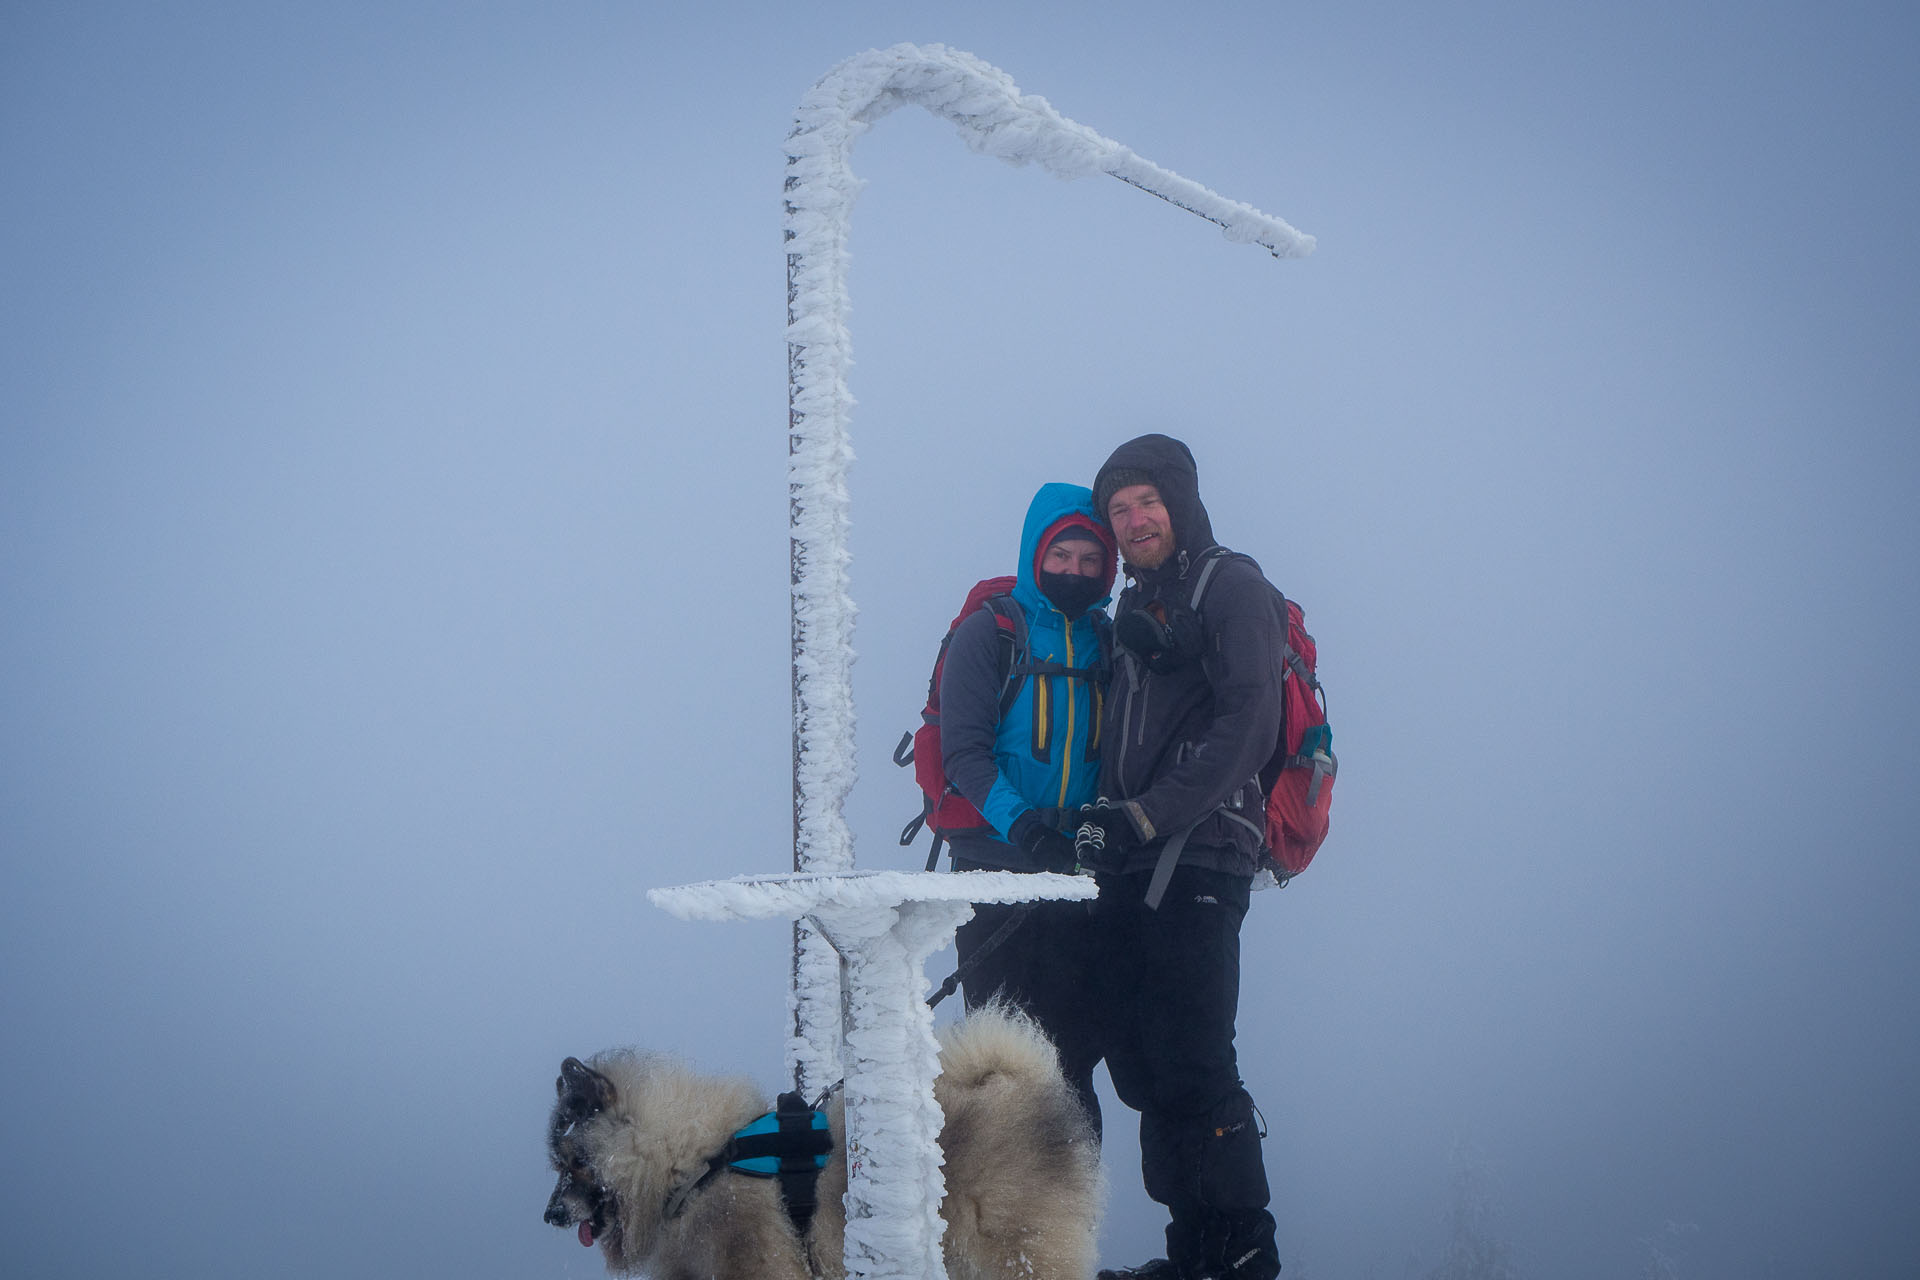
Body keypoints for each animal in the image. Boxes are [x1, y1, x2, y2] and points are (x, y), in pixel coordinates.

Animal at [549, 1013, 1105, 1280]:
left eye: (576, 1162)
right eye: (559, 1163)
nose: (550, 1215)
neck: (693, 1165)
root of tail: (1020, 1084)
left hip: (1014, 1250)